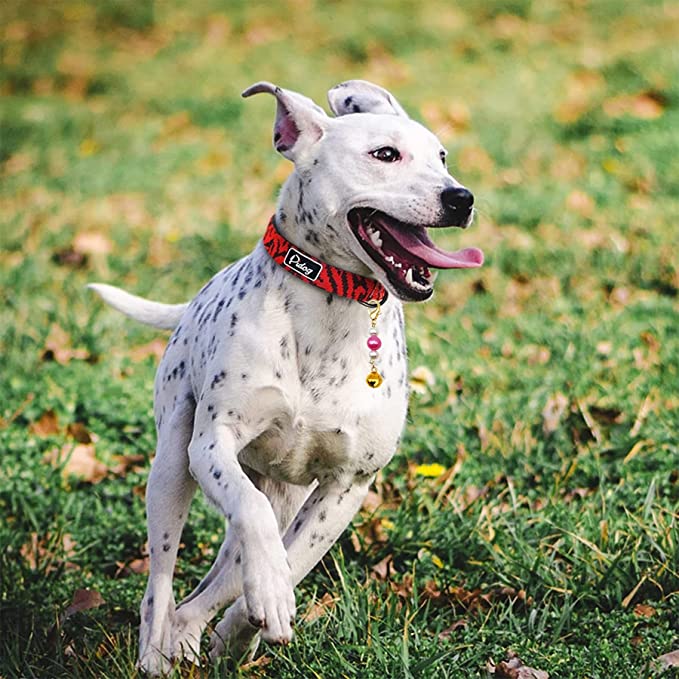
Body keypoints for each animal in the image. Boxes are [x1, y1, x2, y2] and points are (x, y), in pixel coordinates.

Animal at [90, 79, 484, 676]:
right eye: (384, 155)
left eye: (441, 157)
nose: (461, 198)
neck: (333, 302)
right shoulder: (213, 443)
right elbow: (252, 520)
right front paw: (266, 600)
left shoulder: (347, 486)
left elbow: (294, 559)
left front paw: (244, 627)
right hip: (172, 469)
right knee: (165, 576)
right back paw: (156, 650)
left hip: (286, 496)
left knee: (219, 579)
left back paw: (201, 635)